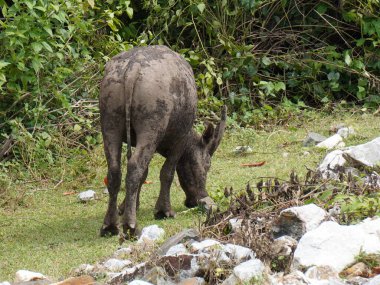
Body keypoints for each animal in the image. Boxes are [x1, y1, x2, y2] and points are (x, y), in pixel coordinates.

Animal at [99, 45, 227, 236]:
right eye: (207, 165)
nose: (197, 199)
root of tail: (131, 70)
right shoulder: (180, 141)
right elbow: (167, 172)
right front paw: (163, 211)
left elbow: (145, 174)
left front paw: (128, 206)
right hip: (151, 124)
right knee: (135, 166)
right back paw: (130, 225)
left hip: (109, 117)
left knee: (115, 170)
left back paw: (110, 226)